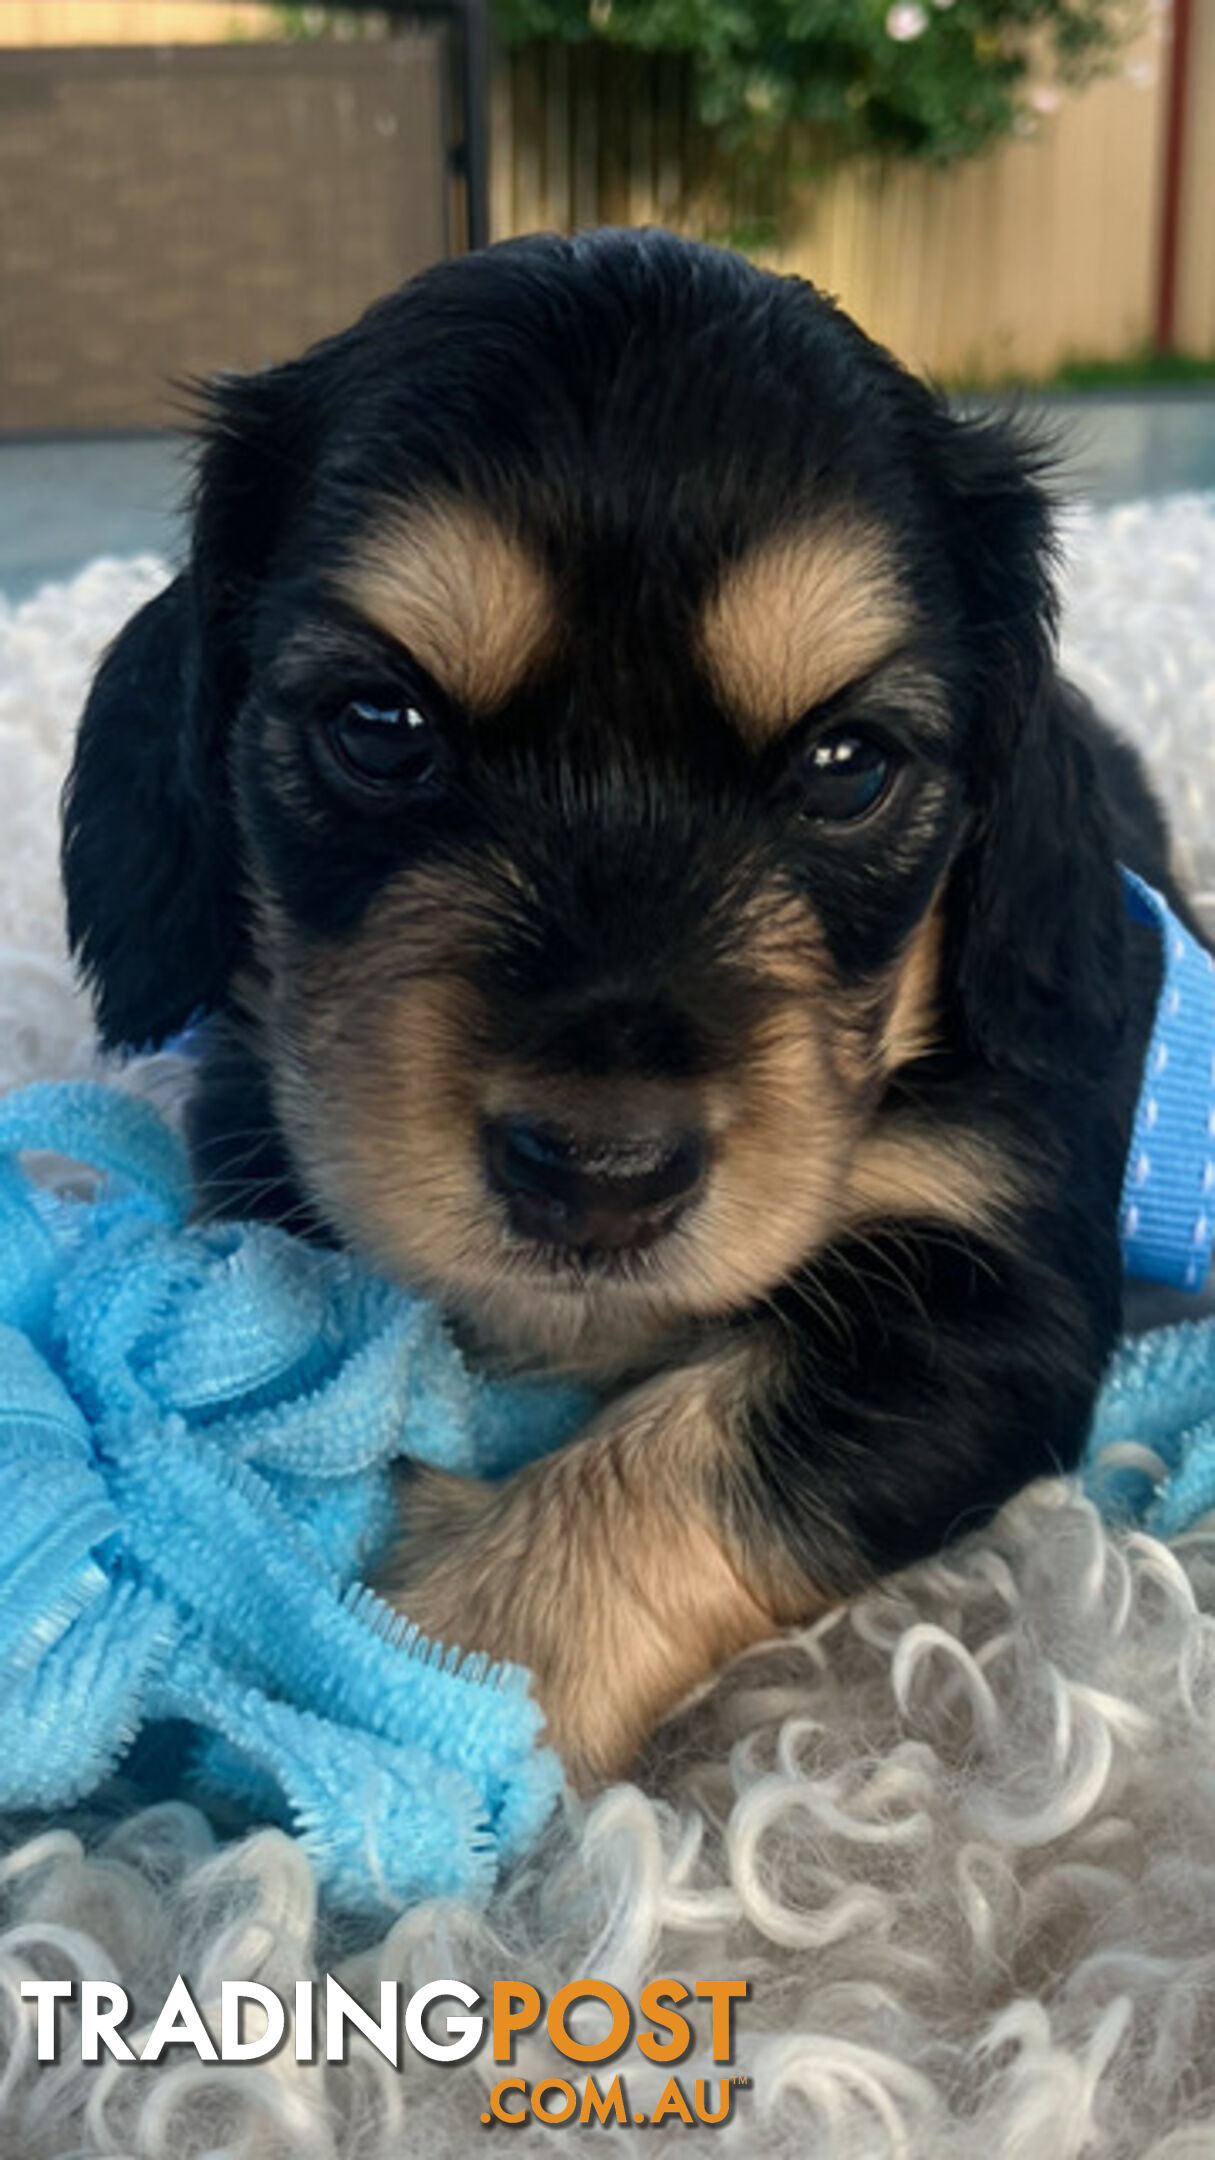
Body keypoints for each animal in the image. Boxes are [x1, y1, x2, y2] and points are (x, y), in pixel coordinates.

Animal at [61, 227, 1184, 1788]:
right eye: (379, 725)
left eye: (847, 763)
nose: (599, 1183)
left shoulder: (999, 1286)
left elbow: (694, 1450)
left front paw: (422, 1705)